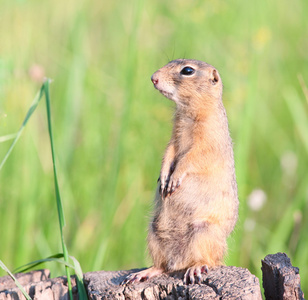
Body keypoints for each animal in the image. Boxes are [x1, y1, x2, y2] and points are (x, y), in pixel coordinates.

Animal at [121, 59, 239, 286]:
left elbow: (191, 159)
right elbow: (169, 153)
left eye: (188, 70)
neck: (187, 112)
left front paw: (174, 178)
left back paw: (195, 268)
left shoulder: (207, 143)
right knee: (163, 266)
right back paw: (146, 272)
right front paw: (163, 177)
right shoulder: (174, 138)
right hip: (154, 231)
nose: (153, 78)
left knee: (208, 260)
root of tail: (179, 261)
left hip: (204, 233)